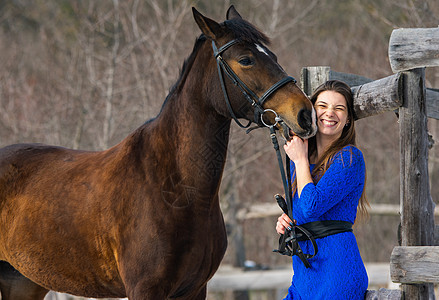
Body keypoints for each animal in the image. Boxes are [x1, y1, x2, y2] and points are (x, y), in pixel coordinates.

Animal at [0, 5, 316, 300]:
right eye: (246, 60)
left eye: (273, 56)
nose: (304, 113)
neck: (177, 188)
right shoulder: (145, 289)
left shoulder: (195, 289)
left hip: (23, 281)